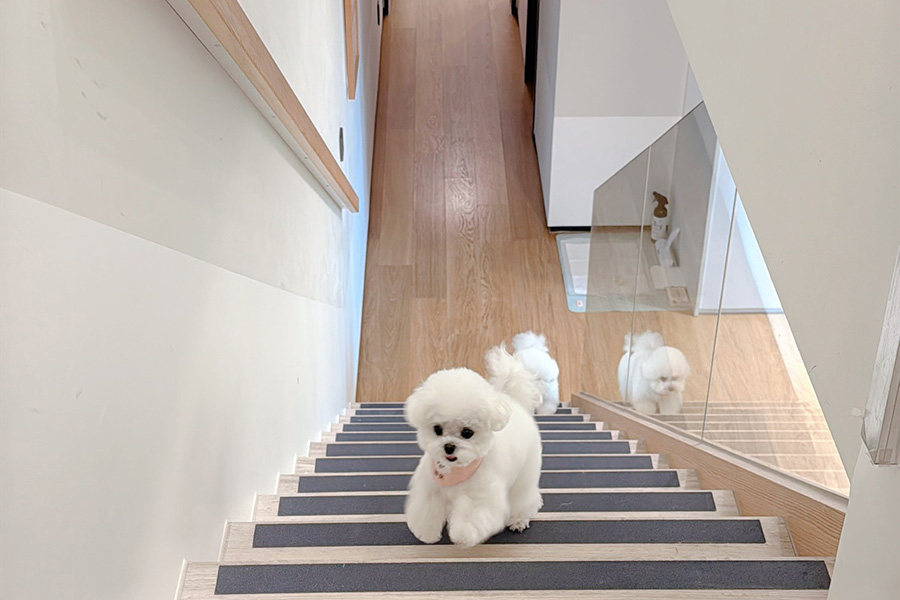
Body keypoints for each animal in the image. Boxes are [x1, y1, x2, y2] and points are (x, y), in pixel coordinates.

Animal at [403, 345, 544, 547]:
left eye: (467, 432)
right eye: (437, 429)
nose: (449, 447)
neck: (453, 470)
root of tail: (515, 402)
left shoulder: (479, 496)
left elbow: (471, 517)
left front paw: (462, 536)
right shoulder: (431, 488)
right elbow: (428, 511)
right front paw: (426, 533)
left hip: (525, 474)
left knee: (524, 498)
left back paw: (518, 519)